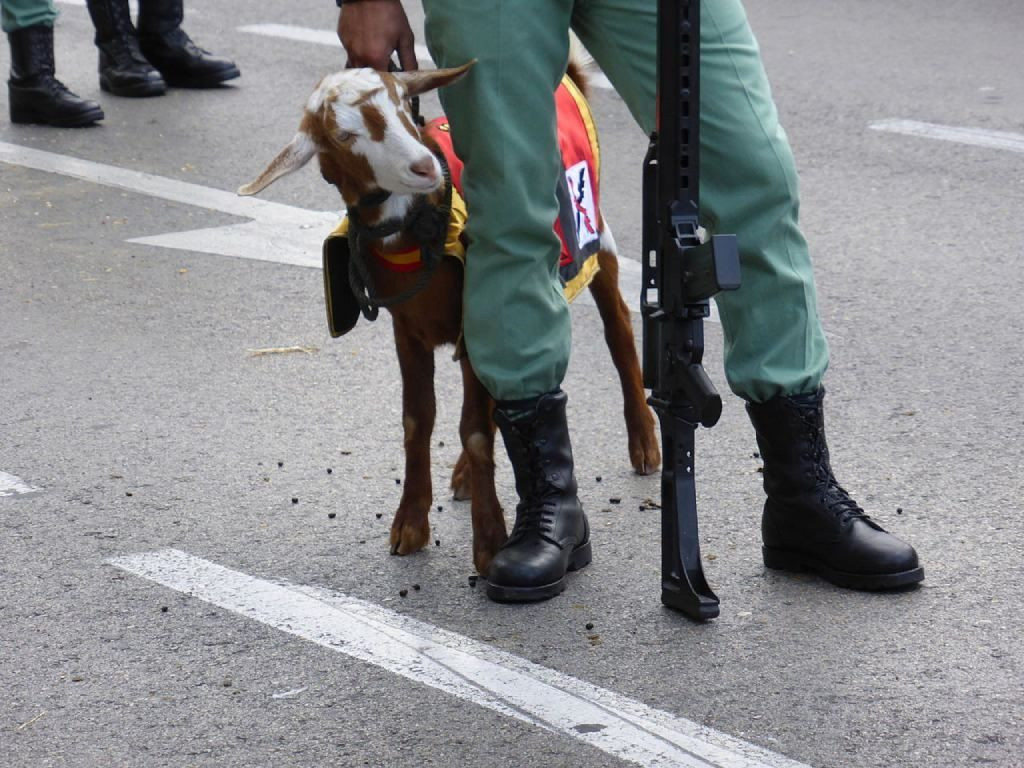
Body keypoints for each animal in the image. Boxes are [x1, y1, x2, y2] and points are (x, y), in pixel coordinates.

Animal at [236, 60, 659, 577]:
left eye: (405, 107)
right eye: (342, 134)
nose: (424, 166)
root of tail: (569, 77)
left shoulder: (477, 320)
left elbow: (474, 429)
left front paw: (491, 541)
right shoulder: (407, 329)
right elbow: (419, 420)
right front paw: (411, 523)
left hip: (595, 232)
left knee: (618, 326)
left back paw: (644, 441)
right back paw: (462, 476)